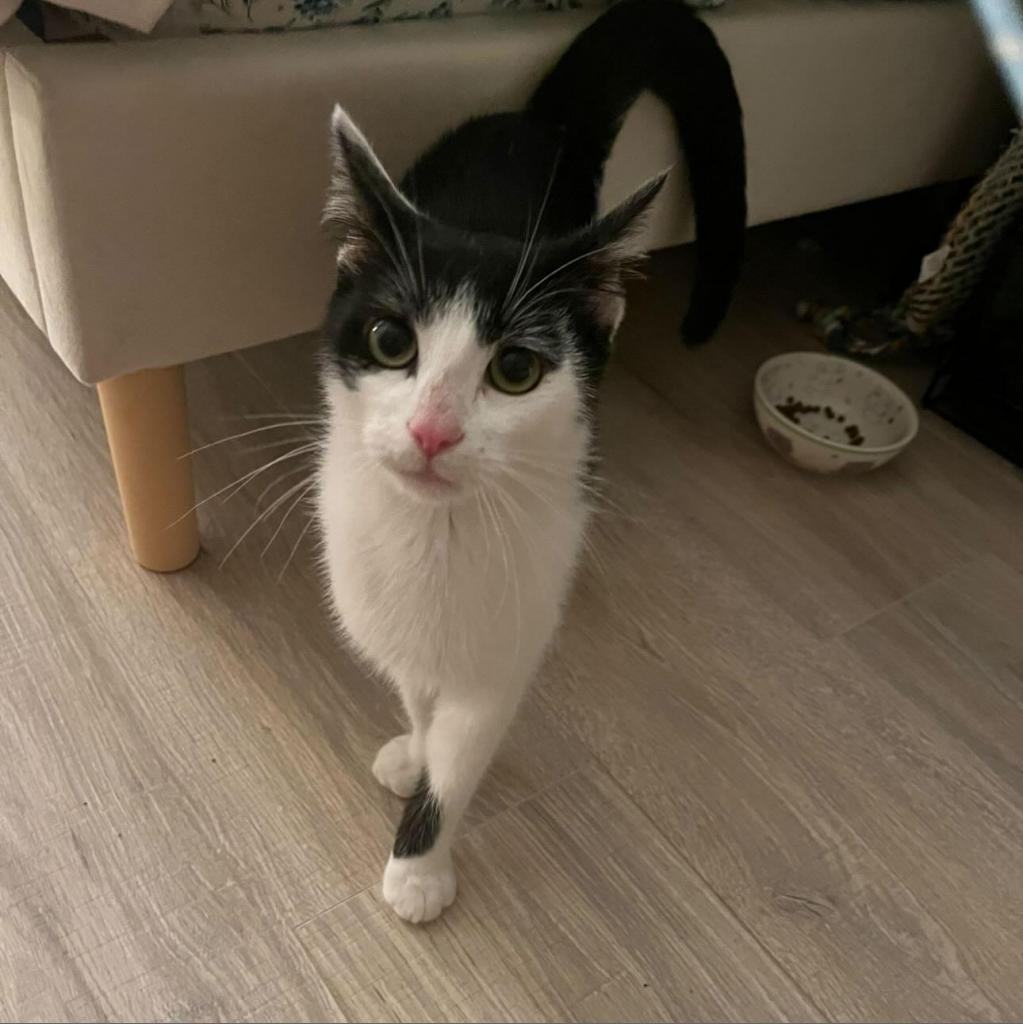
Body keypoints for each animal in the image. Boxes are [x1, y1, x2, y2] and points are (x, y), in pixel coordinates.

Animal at [313, 0, 745, 925]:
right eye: (390, 342)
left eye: (515, 370)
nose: (433, 430)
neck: (434, 533)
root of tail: (539, 120)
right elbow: (416, 687)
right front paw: (413, 743)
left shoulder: (511, 626)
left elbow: (464, 745)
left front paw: (419, 865)